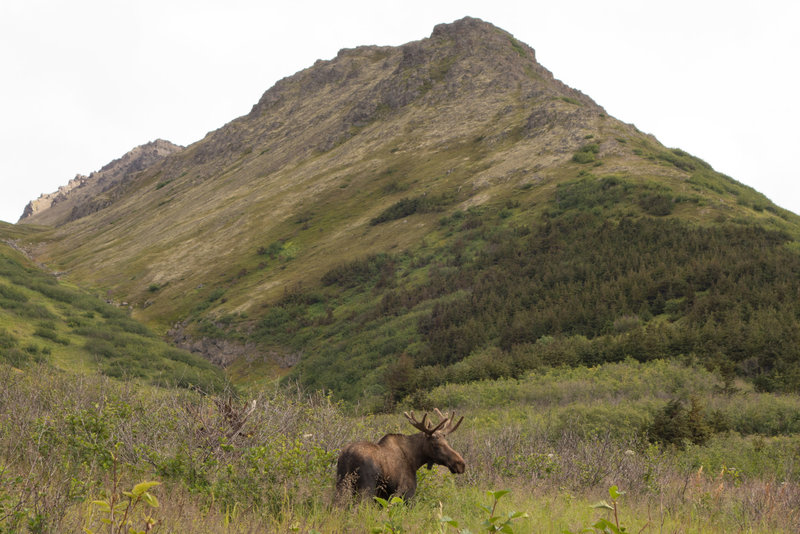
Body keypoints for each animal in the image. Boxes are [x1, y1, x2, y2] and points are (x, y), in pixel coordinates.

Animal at [334, 408, 466, 504]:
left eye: (446, 442)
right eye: (436, 445)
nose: (461, 464)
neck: (415, 461)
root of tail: (347, 455)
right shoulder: (405, 493)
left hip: (341, 485)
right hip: (365, 489)